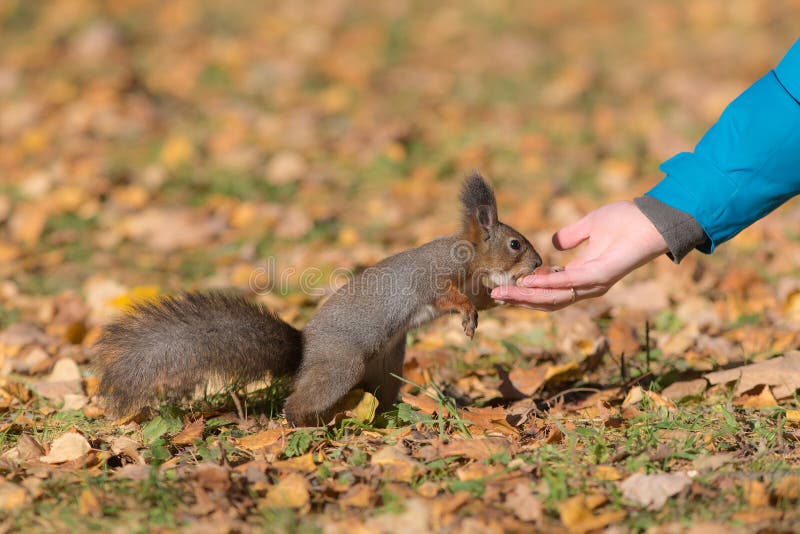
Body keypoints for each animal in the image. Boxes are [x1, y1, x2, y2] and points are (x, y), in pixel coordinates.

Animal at [94, 173, 541, 426]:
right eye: (515, 244)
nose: (538, 263)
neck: (470, 257)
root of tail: (305, 350)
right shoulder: (435, 278)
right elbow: (449, 297)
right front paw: (468, 315)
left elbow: (482, 299)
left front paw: (503, 300)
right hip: (342, 365)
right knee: (298, 403)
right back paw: (304, 426)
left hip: (386, 366)